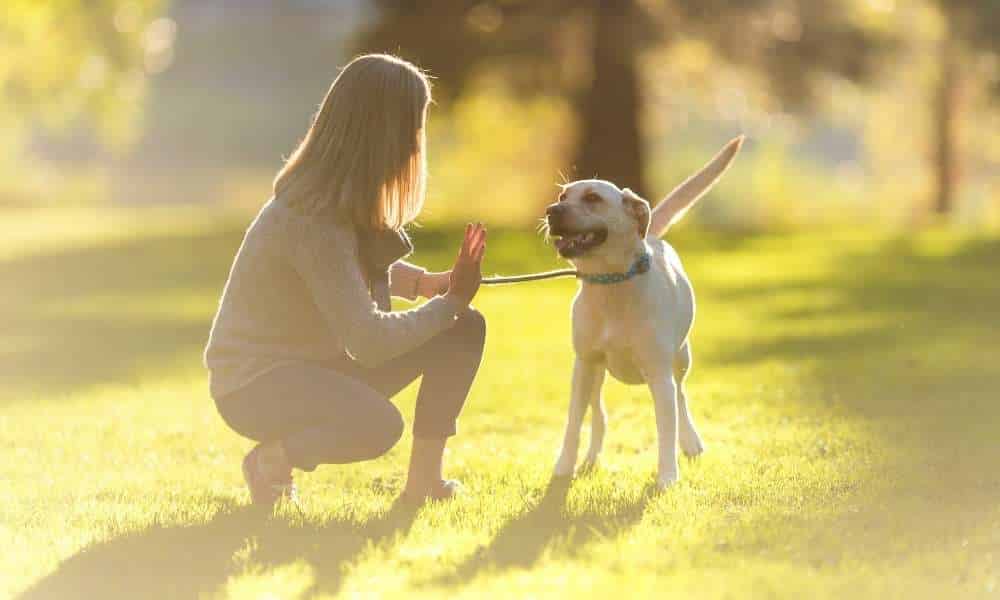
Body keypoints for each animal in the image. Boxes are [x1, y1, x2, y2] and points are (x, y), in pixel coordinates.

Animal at [548, 138, 744, 490]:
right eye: (562, 197)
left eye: (593, 198)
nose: (550, 211)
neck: (611, 283)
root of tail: (651, 235)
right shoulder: (583, 365)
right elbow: (573, 423)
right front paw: (563, 468)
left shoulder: (659, 374)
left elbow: (666, 428)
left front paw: (667, 477)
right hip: (596, 376)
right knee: (598, 415)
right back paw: (591, 459)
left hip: (681, 360)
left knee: (681, 398)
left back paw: (691, 442)